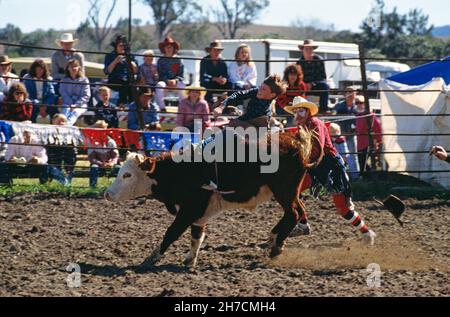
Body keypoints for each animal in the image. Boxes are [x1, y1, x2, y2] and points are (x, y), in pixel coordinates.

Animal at [105, 130, 316, 266]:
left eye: (127, 175)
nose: (107, 194)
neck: (182, 171)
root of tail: (296, 142)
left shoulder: (191, 208)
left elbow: (172, 232)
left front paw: (151, 258)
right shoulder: (198, 213)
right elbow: (196, 236)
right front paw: (189, 260)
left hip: (284, 190)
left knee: (293, 213)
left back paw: (275, 246)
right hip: (290, 192)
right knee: (298, 210)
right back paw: (275, 240)